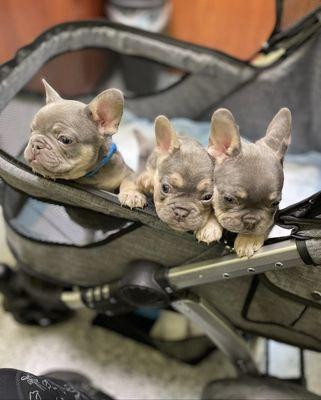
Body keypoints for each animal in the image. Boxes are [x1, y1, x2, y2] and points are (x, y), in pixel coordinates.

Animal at [23, 79, 146, 209]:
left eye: (65, 140)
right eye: (31, 130)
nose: (35, 144)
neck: (89, 175)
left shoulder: (128, 172)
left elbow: (131, 181)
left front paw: (132, 195)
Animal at [208, 107, 290, 256]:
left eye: (275, 203)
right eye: (229, 199)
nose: (251, 221)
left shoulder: (272, 219)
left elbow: (265, 225)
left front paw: (248, 239)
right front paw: (209, 227)